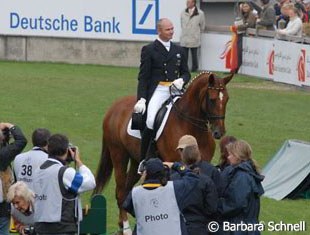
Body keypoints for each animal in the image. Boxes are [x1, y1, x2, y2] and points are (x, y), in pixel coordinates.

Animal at [94, 71, 232, 233]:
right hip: (118, 154)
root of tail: (114, 106)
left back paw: (122, 224)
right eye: (212, 99)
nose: (219, 132)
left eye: (227, 99)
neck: (189, 126)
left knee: (127, 189)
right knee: (121, 191)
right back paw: (126, 228)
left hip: (135, 160)